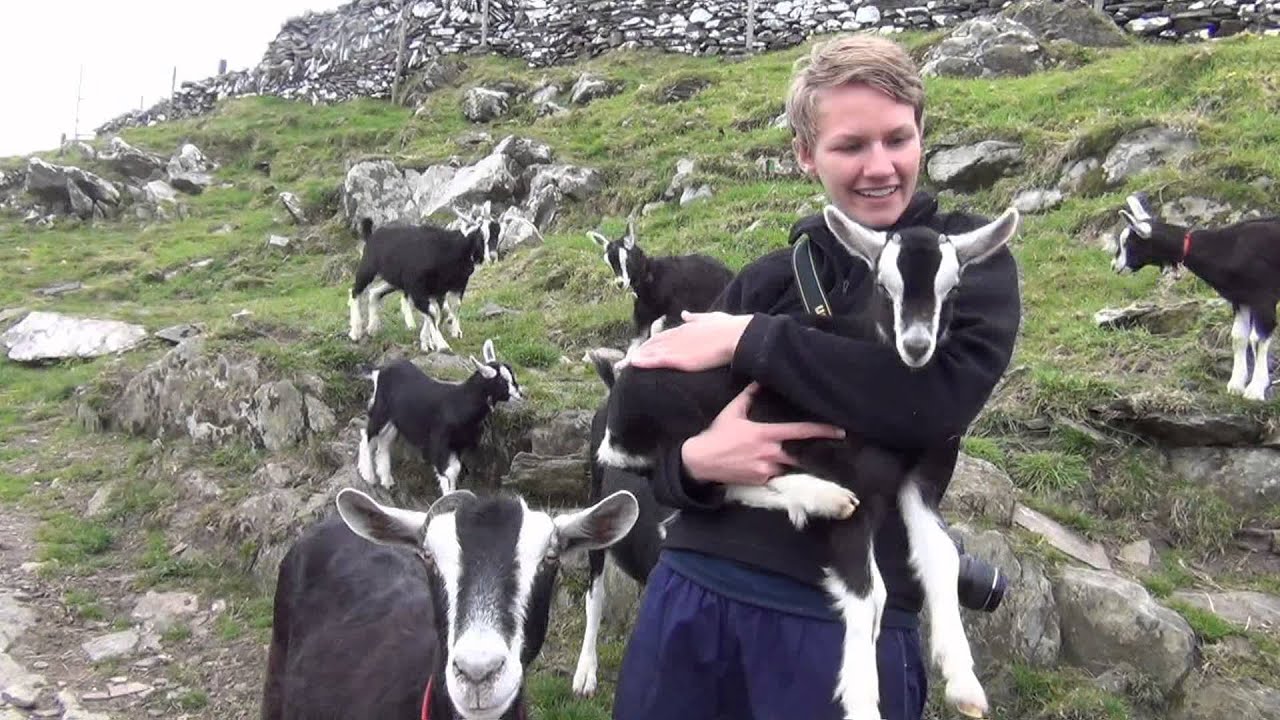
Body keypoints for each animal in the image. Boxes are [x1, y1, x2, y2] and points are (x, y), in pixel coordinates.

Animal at [349, 203, 502, 353]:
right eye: (481, 235)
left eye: (498, 233)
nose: (492, 257)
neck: (450, 250)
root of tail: (371, 235)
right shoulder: (418, 288)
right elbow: (434, 312)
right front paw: (441, 344)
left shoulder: (449, 287)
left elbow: (449, 308)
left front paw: (443, 335)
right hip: (367, 269)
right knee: (355, 292)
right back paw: (355, 332)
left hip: (395, 281)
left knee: (375, 293)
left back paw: (372, 328)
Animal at [358, 339, 523, 496]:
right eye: (502, 381)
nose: (520, 394)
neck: (459, 402)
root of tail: (380, 369)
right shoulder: (439, 441)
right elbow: (447, 471)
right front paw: (447, 497)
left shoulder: (457, 444)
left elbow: (456, 469)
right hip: (381, 411)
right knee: (367, 435)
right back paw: (368, 476)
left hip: (393, 420)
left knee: (383, 443)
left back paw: (386, 480)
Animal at [588, 221, 734, 352]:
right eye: (609, 263)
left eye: (627, 259)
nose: (620, 283)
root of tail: (729, 272)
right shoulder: (642, 321)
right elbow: (632, 348)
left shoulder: (678, 310)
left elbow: (655, 327)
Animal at [1112, 192, 1280, 401]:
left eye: (1128, 243)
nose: (1115, 266)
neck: (1228, 248)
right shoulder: (1241, 298)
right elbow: (1238, 336)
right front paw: (1236, 385)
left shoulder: (1264, 297)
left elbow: (1257, 339)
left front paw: (1255, 390)